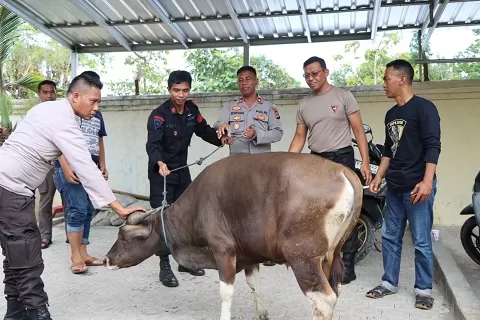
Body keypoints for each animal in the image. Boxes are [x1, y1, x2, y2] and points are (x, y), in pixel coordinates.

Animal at [104, 152, 360, 320]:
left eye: (123, 238)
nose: (106, 260)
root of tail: (343, 170)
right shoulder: (250, 255)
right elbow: (254, 284)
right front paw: (261, 313)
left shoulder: (223, 251)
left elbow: (225, 292)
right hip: (330, 257)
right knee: (335, 291)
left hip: (303, 258)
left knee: (324, 300)